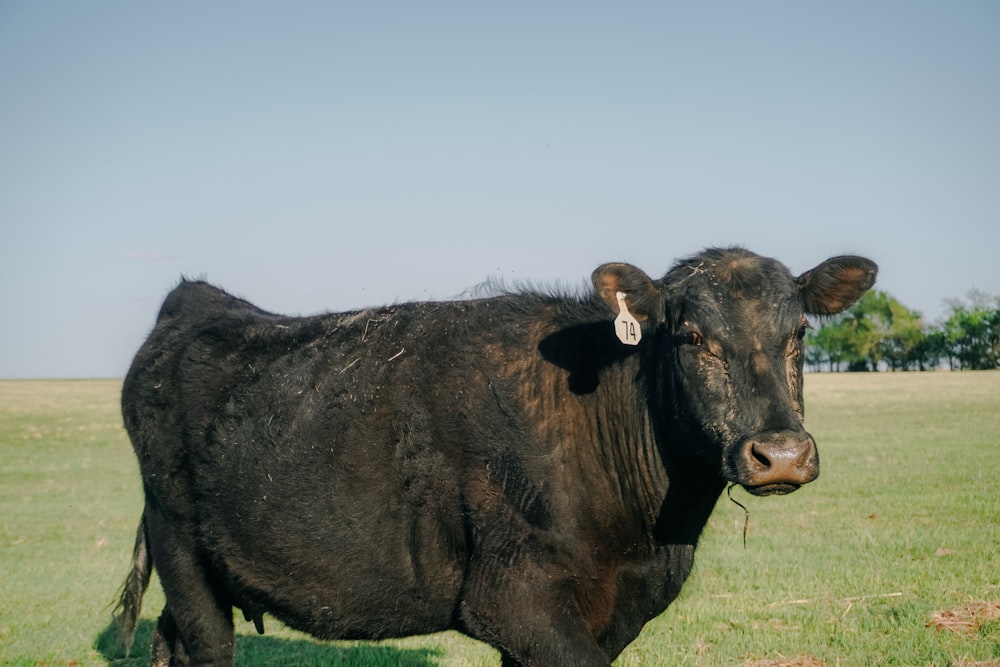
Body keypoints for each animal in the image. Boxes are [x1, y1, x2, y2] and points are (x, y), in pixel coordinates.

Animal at [111, 248, 876, 664]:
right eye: (691, 336)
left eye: (799, 333)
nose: (780, 452)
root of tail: (195, 300)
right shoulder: (514, 600)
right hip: (181, 545)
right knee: (206, 644)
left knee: (168, 640)